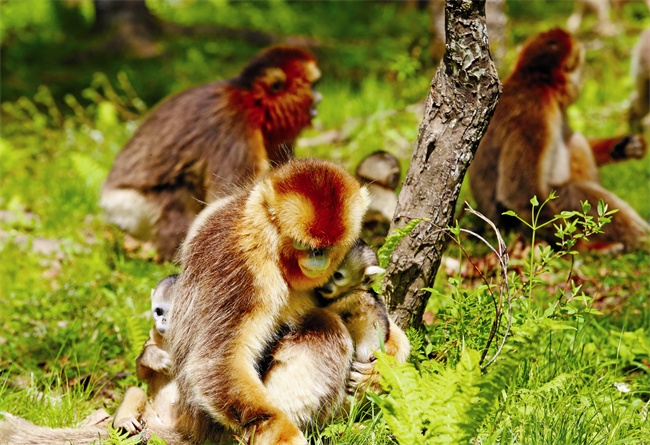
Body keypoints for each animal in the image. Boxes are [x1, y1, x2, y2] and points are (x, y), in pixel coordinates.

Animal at [110, 272, 177, 436]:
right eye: (159, 312)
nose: (164, 320)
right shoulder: (152, 334)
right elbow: (143, 375)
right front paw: (155, 357)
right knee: (136, 390)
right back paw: (124, 422)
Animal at [168, 159, 370, 444]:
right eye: (305, 246)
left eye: (328, 247)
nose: (318, 261)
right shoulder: (246, 263)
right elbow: (213, 364)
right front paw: (280, 431)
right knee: (325, 326)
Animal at [468, 27, 644, 250]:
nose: (582, 77)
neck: (534, 81)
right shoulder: (535, 111)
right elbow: (517, 194)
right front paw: (580, 247)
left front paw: (623, 146)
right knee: (573, 187)